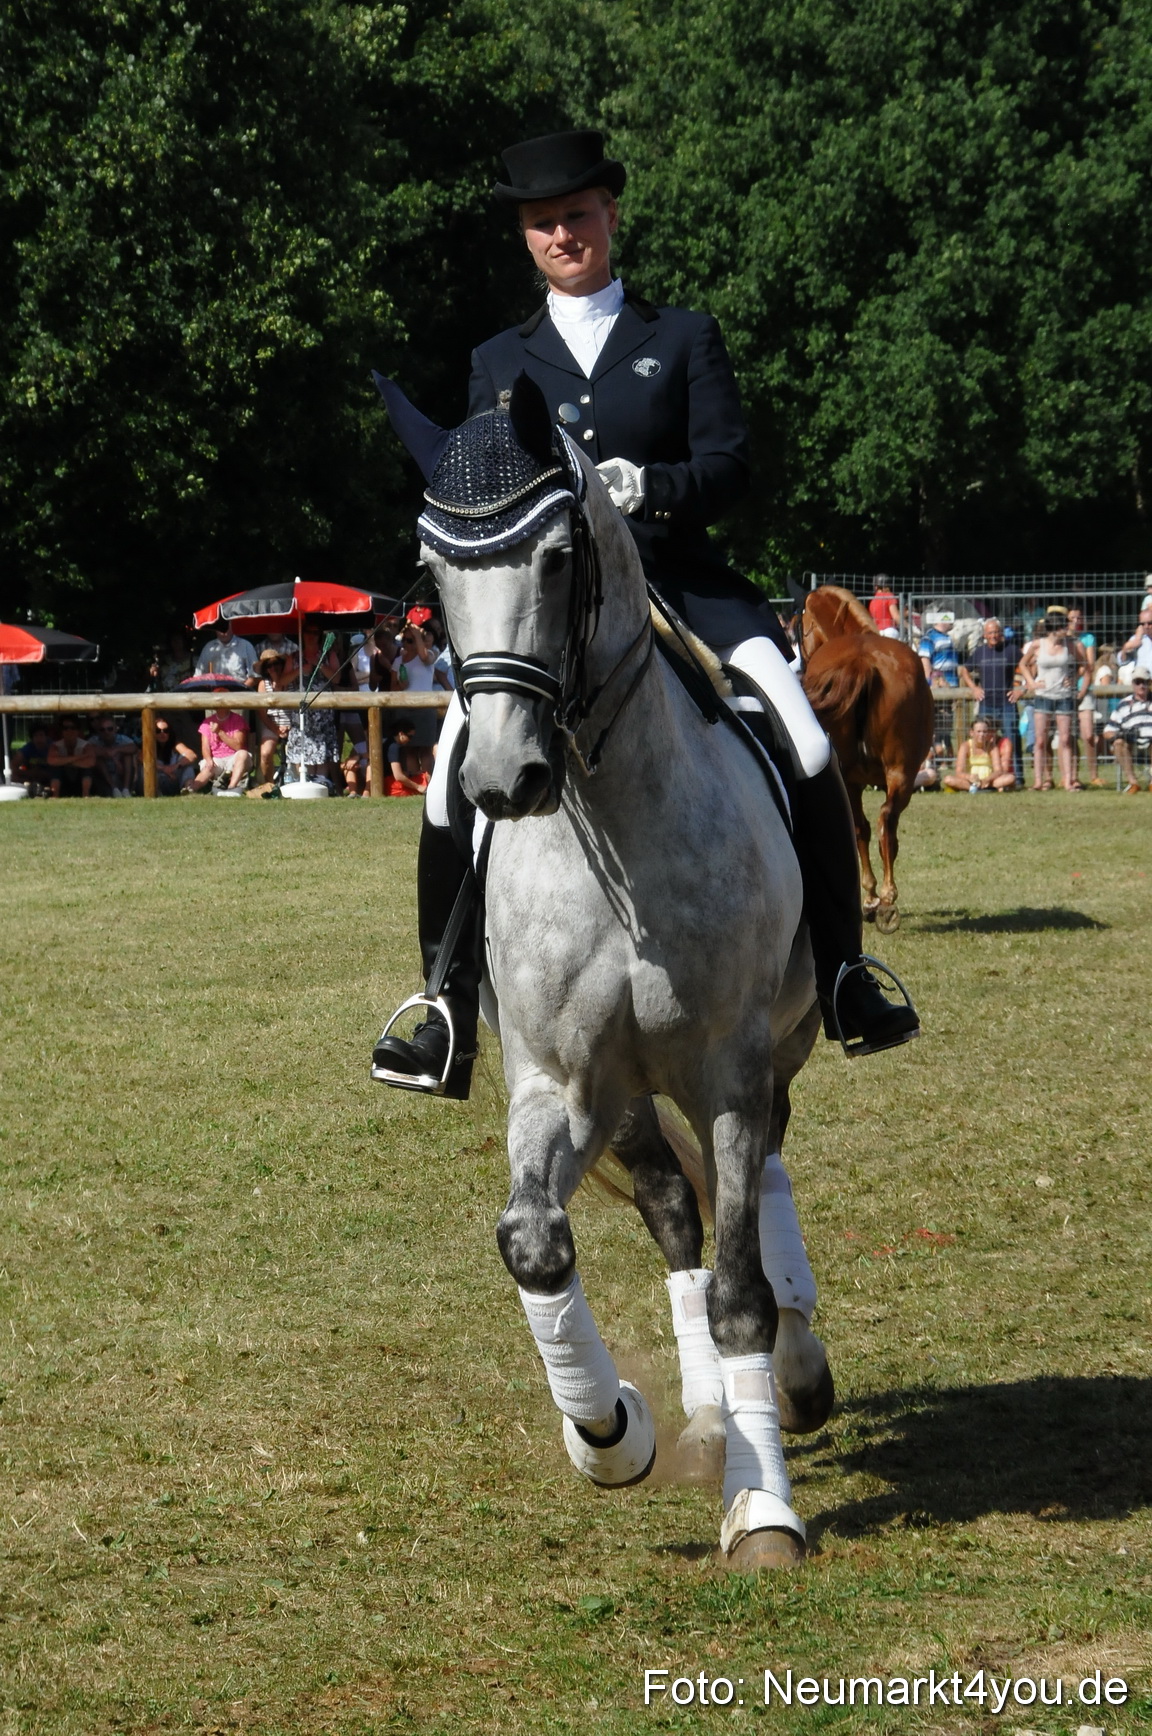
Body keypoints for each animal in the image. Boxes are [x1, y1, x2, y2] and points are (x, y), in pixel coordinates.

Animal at [379, 372, 831, 1570]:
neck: (611, 828)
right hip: (629, 1096)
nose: (502, 780)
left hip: (779, 1047)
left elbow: (740, 1288)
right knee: (675, 1210)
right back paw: (712, 1409)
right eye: (431, 573)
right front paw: (612, 1431)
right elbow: (536, 1239)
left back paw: (795, 1370)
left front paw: (762, 1509)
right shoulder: (563, 1081)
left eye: (554, 559)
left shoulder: (728, 1070)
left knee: (762, 1181)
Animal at [801, 585, 934, 934]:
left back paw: (879, 898)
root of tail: (863, 660)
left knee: (868, 826)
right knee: (884, 823)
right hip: (899, 775)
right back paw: (884, 899)